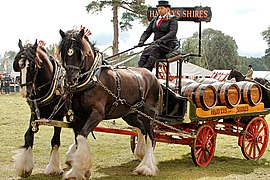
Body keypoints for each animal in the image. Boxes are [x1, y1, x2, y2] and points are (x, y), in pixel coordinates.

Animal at [12, 39, 67, 177]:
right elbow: (28, 136)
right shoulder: (33, 114)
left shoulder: (58, 116)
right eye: (18, 66)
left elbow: (55, 140)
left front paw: (54, 167)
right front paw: (25, 167)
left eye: (32, 66)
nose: (24, 92)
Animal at [58, 28, 162, 179]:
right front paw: (80, 170)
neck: (93, 78)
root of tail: (153, 76)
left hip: (148, 113)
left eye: (80, 53)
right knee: (142, 130)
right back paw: (141, 155)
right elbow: (78, 139)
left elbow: (82, 135)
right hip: (130, 114)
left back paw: (146, 167)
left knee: (151, 136)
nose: (71, 79)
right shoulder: (78, 117)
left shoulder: (97, 114)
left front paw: (77, 170)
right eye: (64, 52)